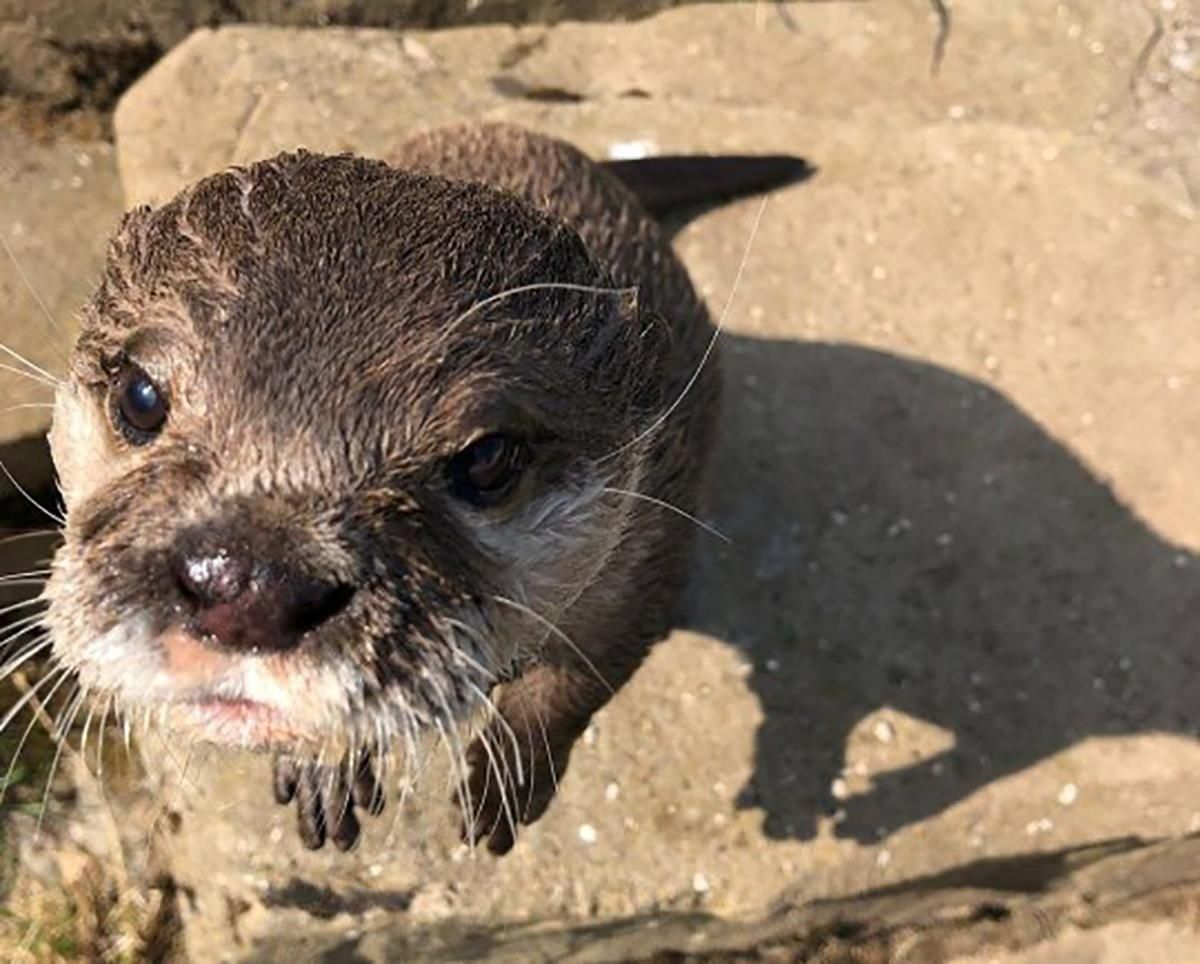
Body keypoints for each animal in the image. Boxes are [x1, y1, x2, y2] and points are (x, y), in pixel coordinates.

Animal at [39, 124, 806, 854]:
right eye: (140, 397)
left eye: (488, 459)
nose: (247, 586)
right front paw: (330, 762)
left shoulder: (649, 545)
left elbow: (582, 676)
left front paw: (510, 773)